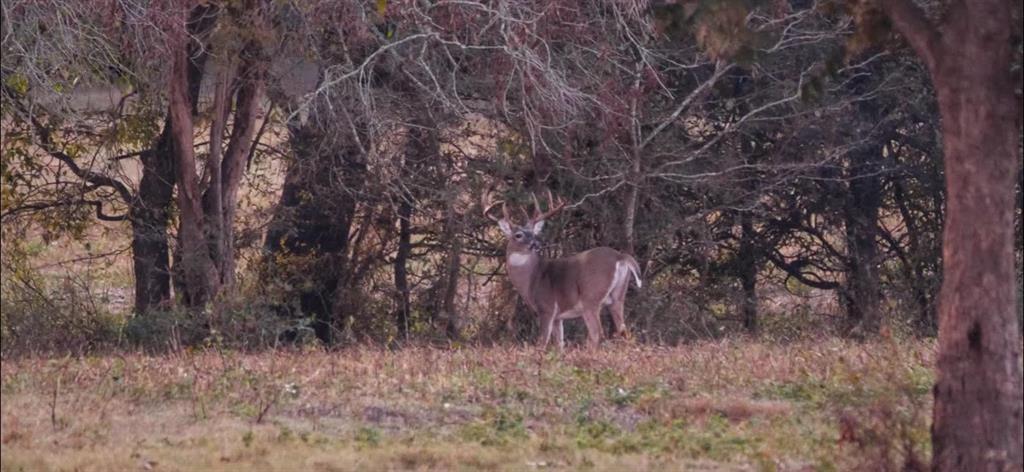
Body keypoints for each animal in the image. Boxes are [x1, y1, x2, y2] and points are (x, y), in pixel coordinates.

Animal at [485, 189, 643, 348]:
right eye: (518, 235)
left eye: (534, 234)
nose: (536, 244)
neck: (532, 279)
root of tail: (620, 256)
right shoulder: (558, 317)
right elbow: (560, 344)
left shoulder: (546, 308)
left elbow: (541, 343)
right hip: (618, 297)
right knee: (624, 330)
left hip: (591, 297)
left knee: (597, 333)